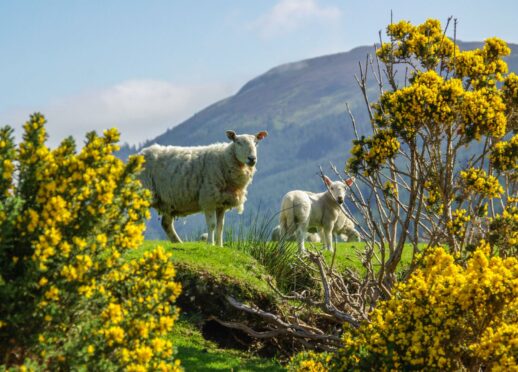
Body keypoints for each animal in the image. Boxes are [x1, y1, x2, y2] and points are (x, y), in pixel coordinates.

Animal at [138, 129, 268, 246]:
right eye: (238, 142)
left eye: (256, 142)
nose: (252, 159)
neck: (224, 160)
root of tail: (140, 153)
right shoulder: (209, 199)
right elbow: (212, 224)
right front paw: (210, 244)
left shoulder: (222, 203)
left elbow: (221, 226)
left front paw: (220, 246)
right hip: (143, 192)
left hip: (168, 202)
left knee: (166, 224)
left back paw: (178, 242)